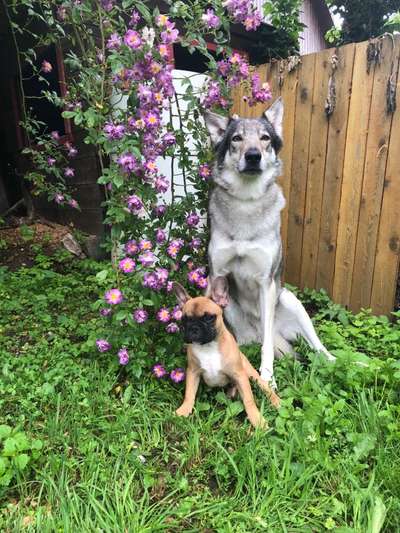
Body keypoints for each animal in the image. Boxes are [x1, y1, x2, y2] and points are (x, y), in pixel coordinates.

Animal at [173, 276, 280, 426]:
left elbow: (249, 400)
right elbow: (189, 394)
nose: (194, 328)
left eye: (209, 317)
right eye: (184, 319)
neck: (208, 346)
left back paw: (277, 402)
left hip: (251, 373)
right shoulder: (192, 372)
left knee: (266, 387)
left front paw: (257, 419)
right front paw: (184, 410)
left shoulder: (239, 375)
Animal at [203, 97, 334, 384]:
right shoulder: (217, 275)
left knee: (314, 346)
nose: (253, 156)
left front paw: (268, 379)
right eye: (237, 139)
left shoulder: (266, 282)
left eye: (265, 138)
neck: (246, 202)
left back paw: (338, 361)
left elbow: (267, 350)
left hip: (289, 300)